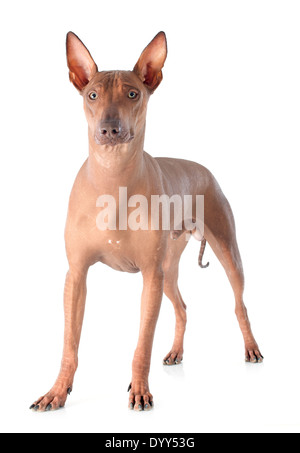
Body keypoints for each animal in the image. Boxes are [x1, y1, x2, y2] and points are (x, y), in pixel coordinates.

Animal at [29, 30, 262, 414]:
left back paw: (251, 347)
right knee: (182, 308)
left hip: (224, 253)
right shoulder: (76, 275)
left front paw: (139, 390)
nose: (110, 129)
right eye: (92, 95)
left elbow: (143, 344)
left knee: (239, 303)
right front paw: (58, 391)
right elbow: (69, 345)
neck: (113, 180)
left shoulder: (150, 276)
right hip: (169, 268)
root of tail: (205, 170)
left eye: (133, 94)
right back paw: (176, 351)